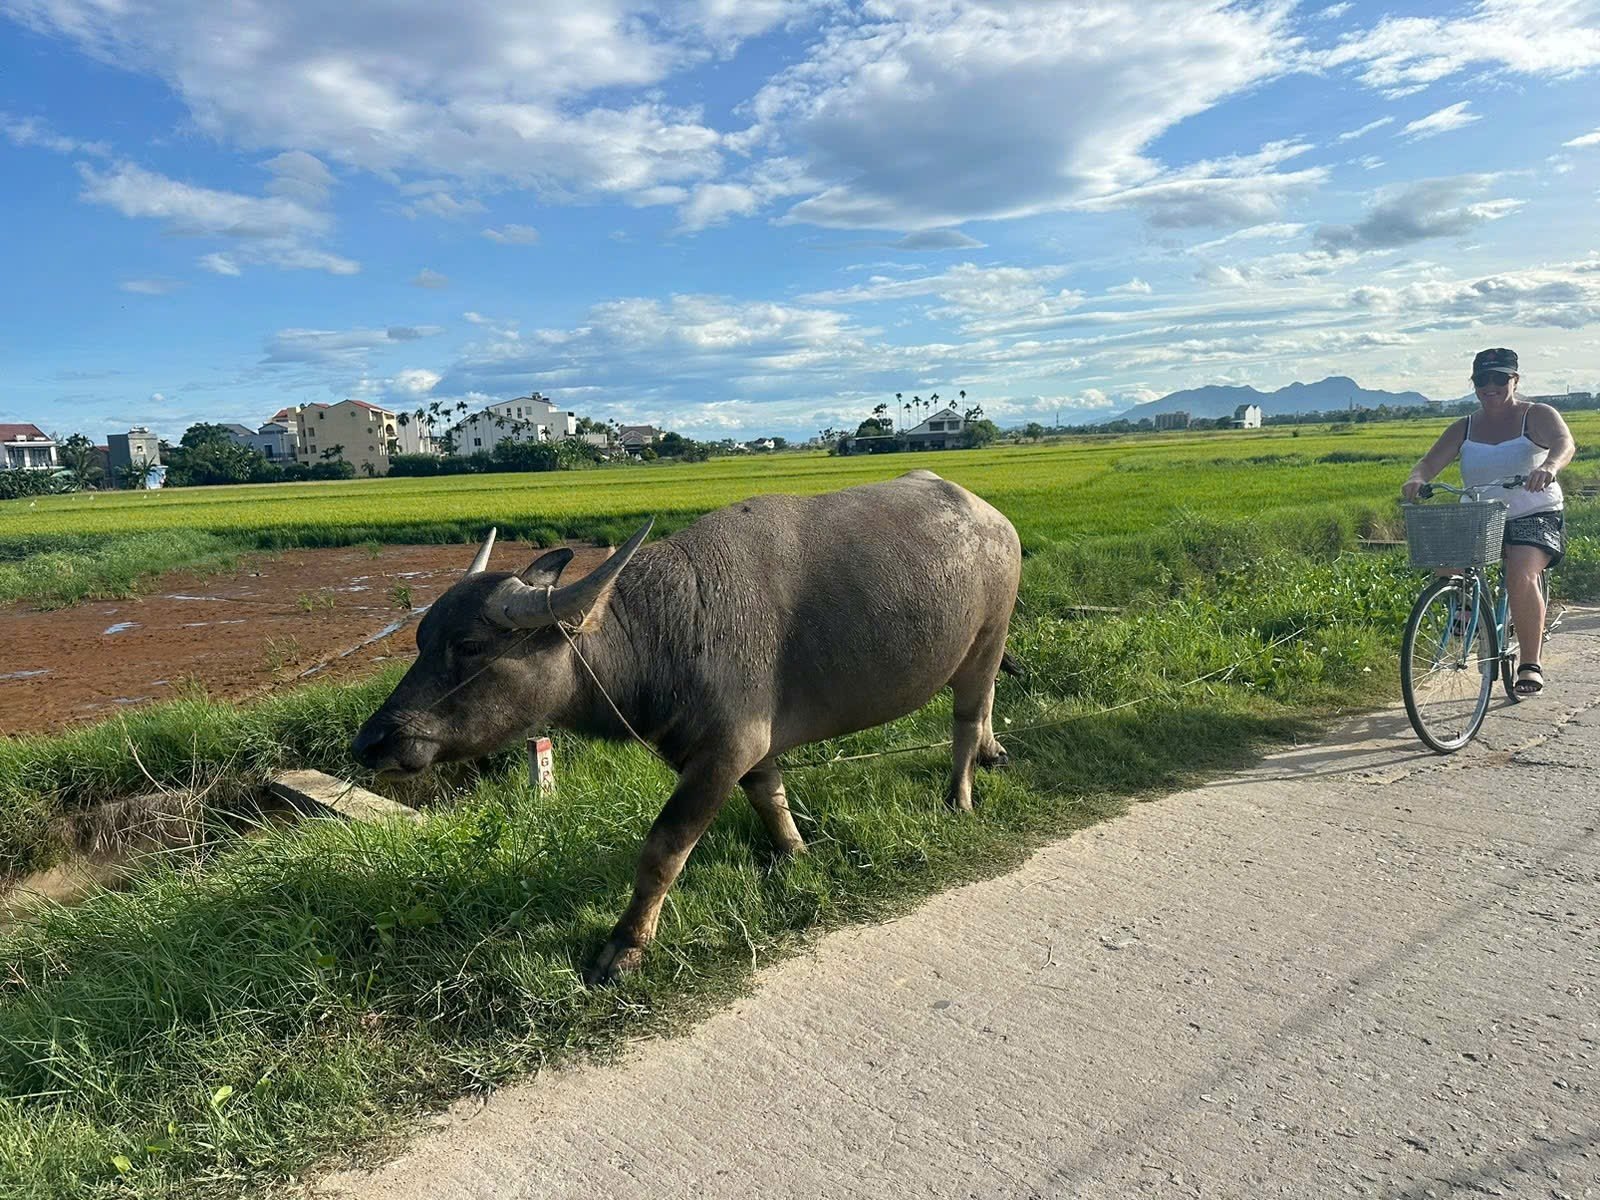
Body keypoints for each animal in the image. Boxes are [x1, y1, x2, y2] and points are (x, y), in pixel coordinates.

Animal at [353, 469, 1022, 983]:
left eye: (467, 645)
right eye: (420, 638)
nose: (372, 740)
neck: (665, 630)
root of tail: (994, 519)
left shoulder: (723, 750)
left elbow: (663, 848)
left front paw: (625, 947)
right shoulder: (741, 747)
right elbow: (769, 794)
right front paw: (794, 851)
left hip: (986, 639)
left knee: (966, 717)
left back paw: (960, 793)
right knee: (987, 703)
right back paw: (992, 753)